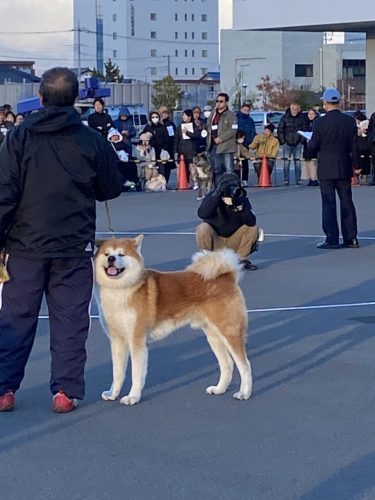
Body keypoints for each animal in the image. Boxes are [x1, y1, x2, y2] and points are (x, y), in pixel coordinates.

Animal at [94, 237, 253, 406]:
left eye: (121, 254)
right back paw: (219, 389)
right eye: (107, 254)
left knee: (245, 365)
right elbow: (117, 373)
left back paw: (244, 393)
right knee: (227, 364)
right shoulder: (117, 341)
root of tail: (226, 276)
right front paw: (112, 394)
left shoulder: (137, 341)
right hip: (213, 336)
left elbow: (136, 374)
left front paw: (133, 397)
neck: (121, 290)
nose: (111, 259)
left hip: (229, 332)